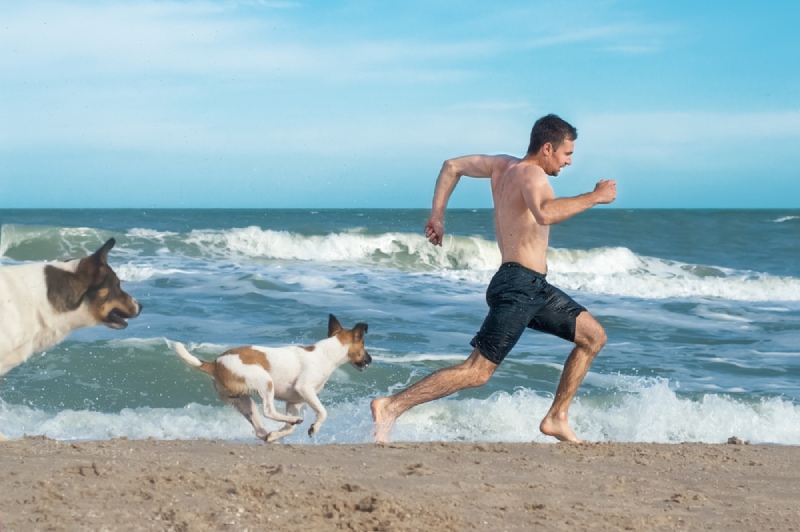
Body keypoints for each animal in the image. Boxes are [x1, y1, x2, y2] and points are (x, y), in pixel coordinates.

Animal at [173, 314, 372, 442]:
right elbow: (322, 412)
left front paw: (279, 433)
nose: (370, 360)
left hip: (243, 402)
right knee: (268, 411)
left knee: (260, 429)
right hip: (265, 382)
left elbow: (289, 429)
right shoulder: (305, 389)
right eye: (363, 344)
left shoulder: (295, 402)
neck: (327, 353)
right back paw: (290, 422)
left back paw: (271, 434)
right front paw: (314, 428)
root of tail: (216, 363)